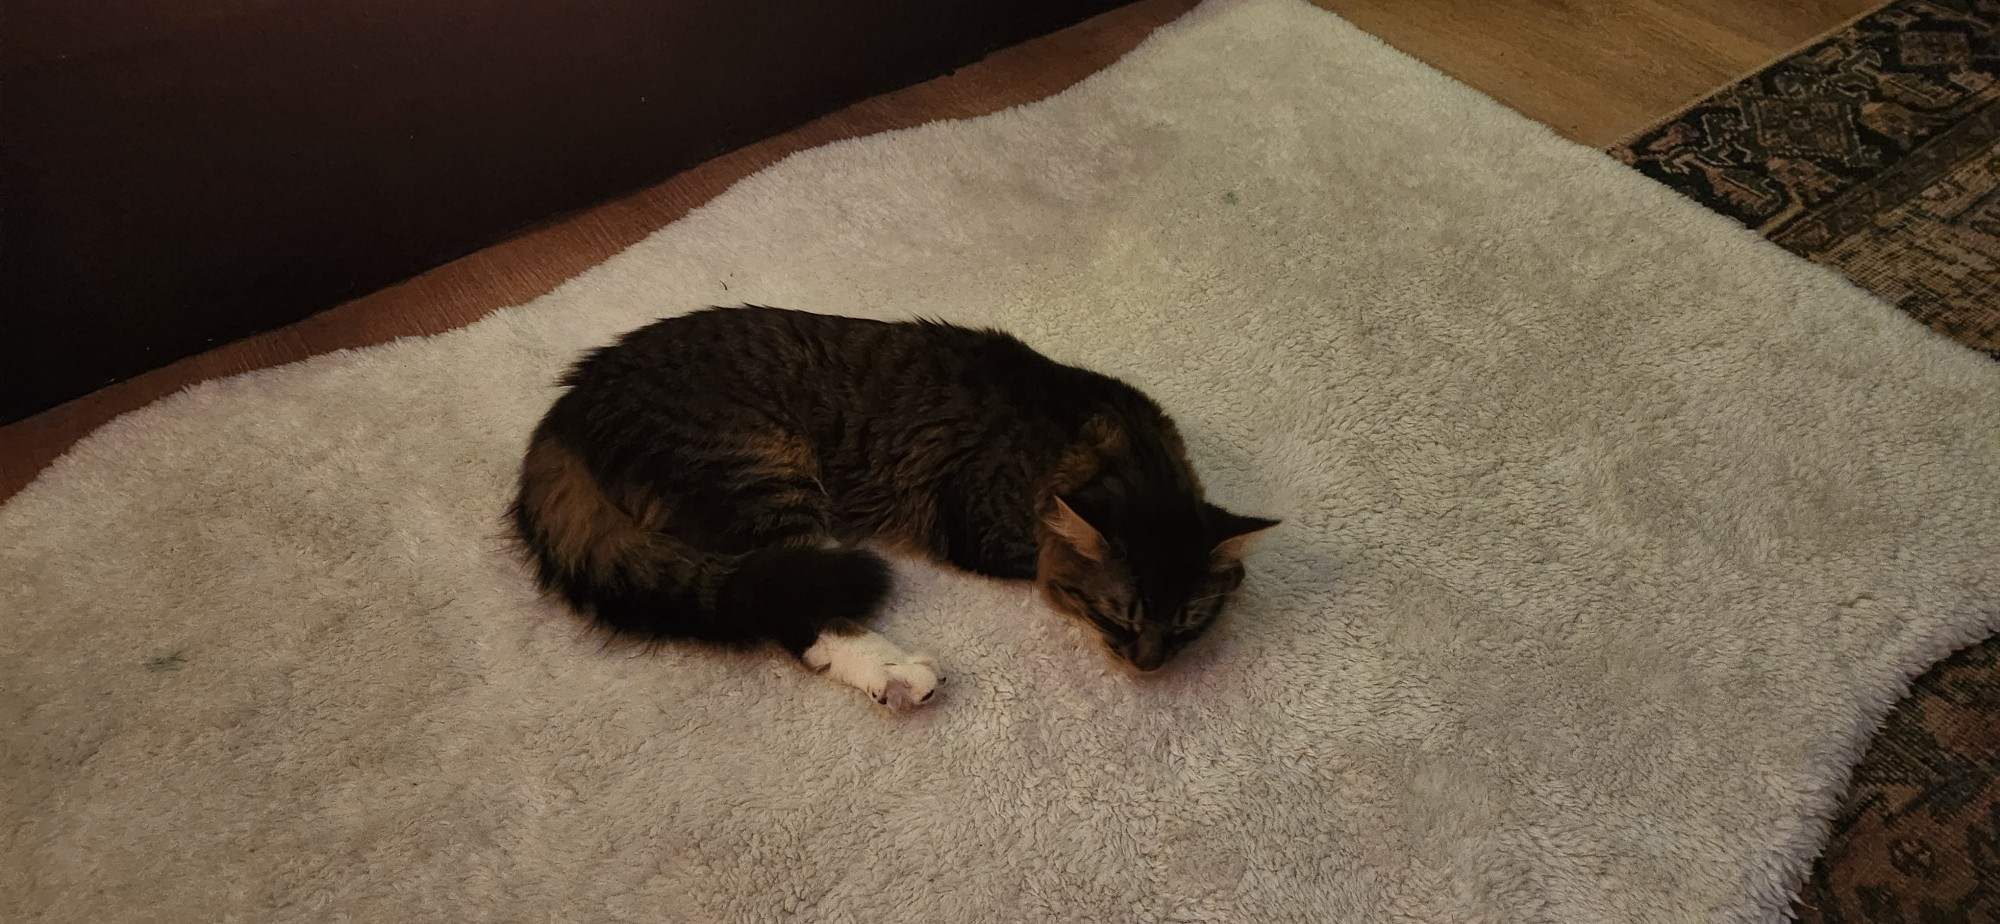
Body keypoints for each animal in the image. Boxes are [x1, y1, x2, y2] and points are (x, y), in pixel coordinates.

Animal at [508, 306, 1272, 712]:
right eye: (1120, 617)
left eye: (1190, 623)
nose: (1150, 666)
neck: (1108, 443)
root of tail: (567, 407)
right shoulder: (984, 528)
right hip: (764, 475)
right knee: (790, 608)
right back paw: (898, 674)